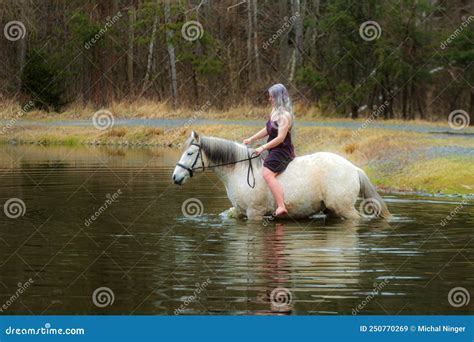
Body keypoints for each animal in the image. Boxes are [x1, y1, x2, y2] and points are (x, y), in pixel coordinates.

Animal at [172, 130, 390, 220]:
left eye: (190, 153)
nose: (175, 177)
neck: (238, 170)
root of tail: (353, 168)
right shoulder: (240, 211)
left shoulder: (254, 214)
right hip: (332, 210)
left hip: (343, 208)